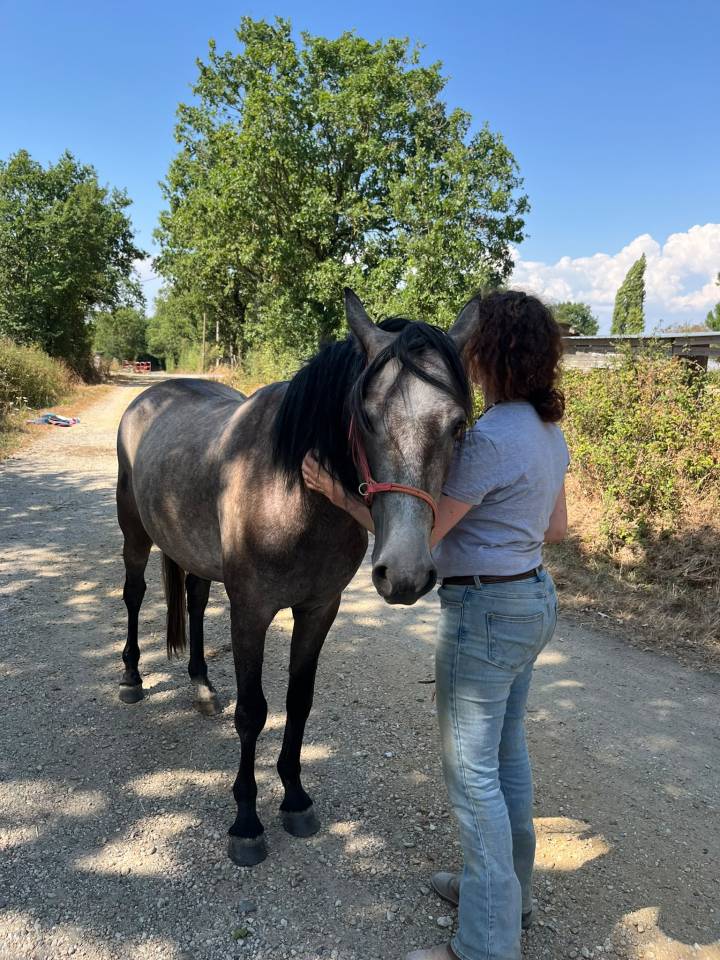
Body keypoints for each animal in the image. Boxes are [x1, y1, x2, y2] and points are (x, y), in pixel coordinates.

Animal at [115, 289, 479, 866]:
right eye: (365, 417)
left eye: (459, 424)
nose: (404, 574)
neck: (291, 491)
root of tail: (150, 396)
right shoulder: (251, 611)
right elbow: (253, 712)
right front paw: (245, 822)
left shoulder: (318, 609)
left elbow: (298, 702)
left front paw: (295, 797)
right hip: (133, 532)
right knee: (133, 594)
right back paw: (131, 679)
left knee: (194, 601)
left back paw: (201, 686)